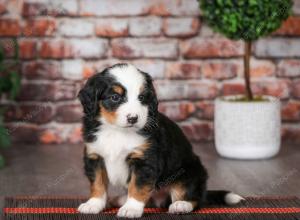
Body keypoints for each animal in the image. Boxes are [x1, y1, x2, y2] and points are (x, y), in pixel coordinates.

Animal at [77, 63, 244, 218]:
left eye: (142, 97)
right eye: (115, 97)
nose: (133, 118)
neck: (117, 131)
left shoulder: (145, 160)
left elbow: (137, 186)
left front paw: (131, 209)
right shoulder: (95, 156)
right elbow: (97, 184)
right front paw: (93, 204)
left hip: (189, 172)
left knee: (194, 198)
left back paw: (181, 205)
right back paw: (120, 199)